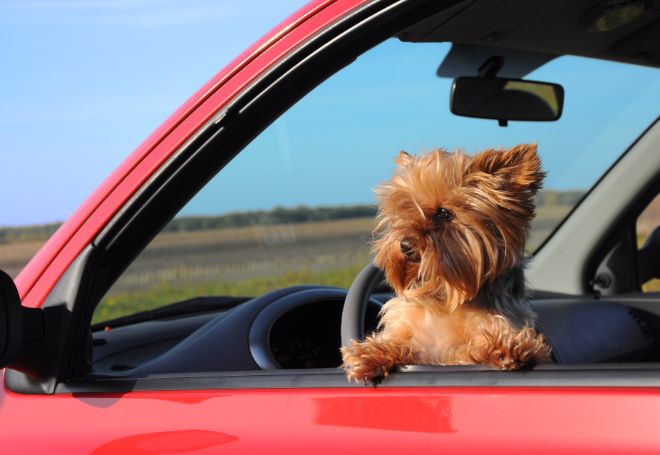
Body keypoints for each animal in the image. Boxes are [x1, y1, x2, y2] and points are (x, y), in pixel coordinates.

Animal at [340, 143, 552, 384]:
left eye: (444, 212)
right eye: (406, 209)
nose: (404, 245)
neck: (448, 290)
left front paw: (505, 347)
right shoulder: (410, 329)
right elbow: (399, 342)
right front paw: (369, 353)